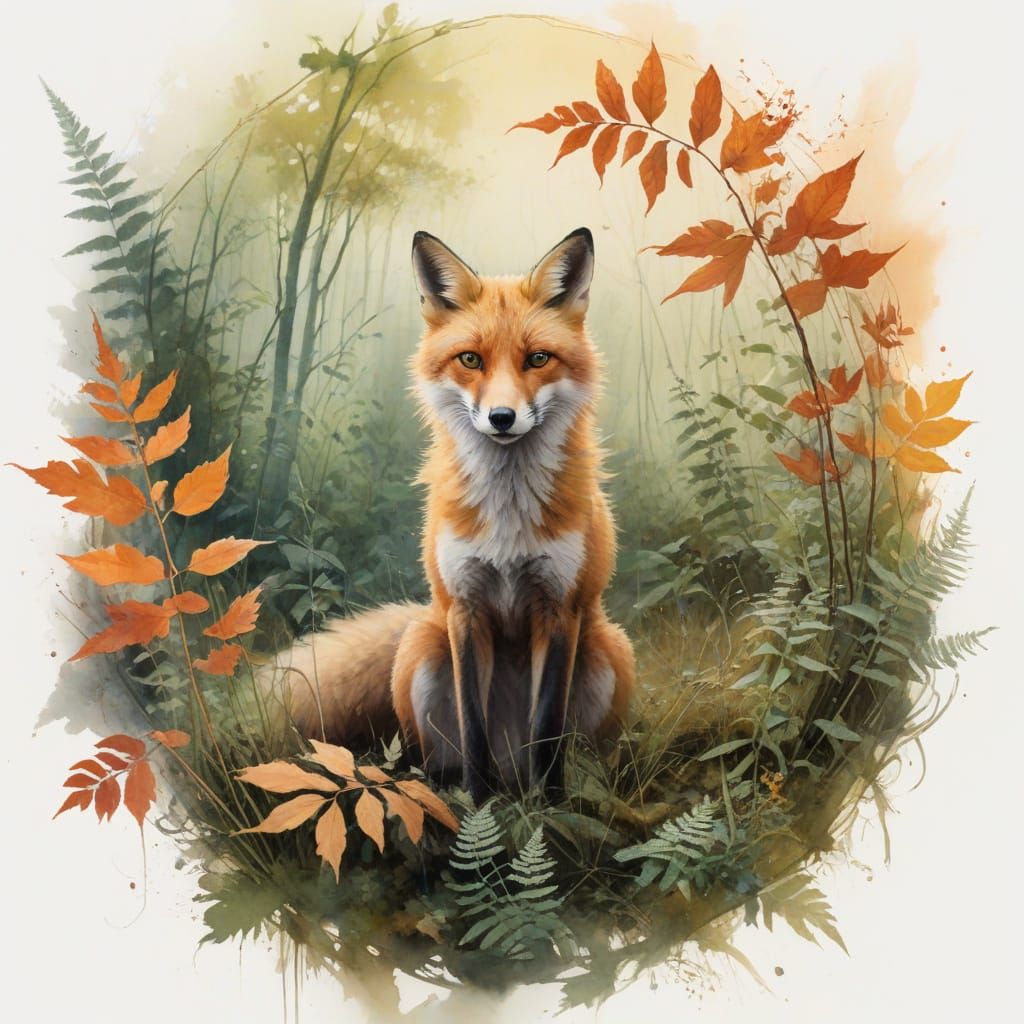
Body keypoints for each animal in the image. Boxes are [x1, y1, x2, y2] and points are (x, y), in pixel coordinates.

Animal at [276, 227, 635, 800]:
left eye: (538, 359)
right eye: (470, 360)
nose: (502, 417)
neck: (508, 515)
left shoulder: (560, 610)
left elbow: (548, 731)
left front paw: (550, 807)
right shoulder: (464, 609)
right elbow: (473, 727)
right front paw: (478, 804)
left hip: (608, 651)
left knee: (582, 757)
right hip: (423, 648)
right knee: (435, 756)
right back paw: (454, 793)